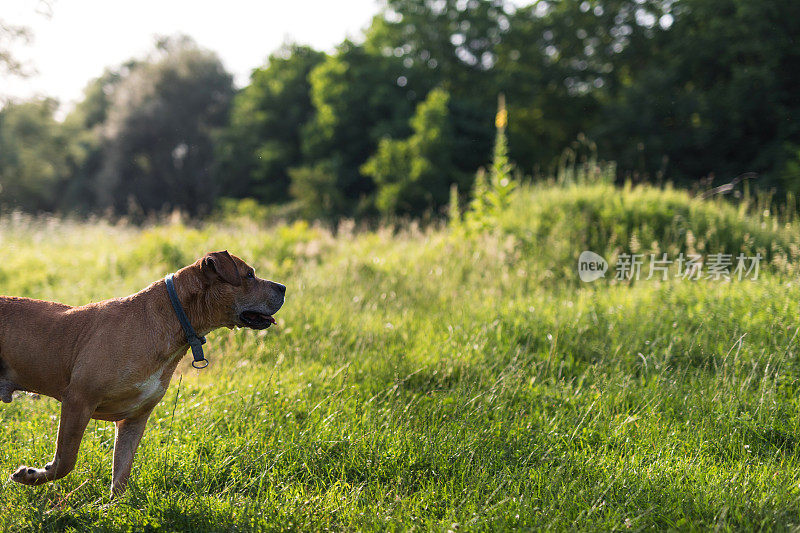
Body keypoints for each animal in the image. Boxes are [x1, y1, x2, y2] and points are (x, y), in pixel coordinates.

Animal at [0, 249, 286, 494]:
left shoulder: (135, 419)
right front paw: (32, 475)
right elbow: (66, 460)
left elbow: (121, 474)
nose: (283, 287)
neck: (175, 315)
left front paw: (113, 511)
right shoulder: (78, 401)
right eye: (249, 275)